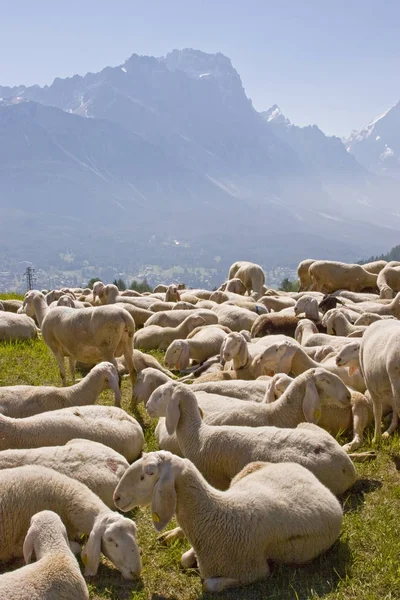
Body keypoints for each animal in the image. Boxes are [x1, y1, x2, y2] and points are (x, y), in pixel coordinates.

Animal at [114, 452, 342, 592]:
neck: (215, 513)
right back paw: (170, 535)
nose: (116, 497)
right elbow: (185, 559)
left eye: (149, 473)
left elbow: (208, 584)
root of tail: (311, 477)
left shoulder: (255, 572)